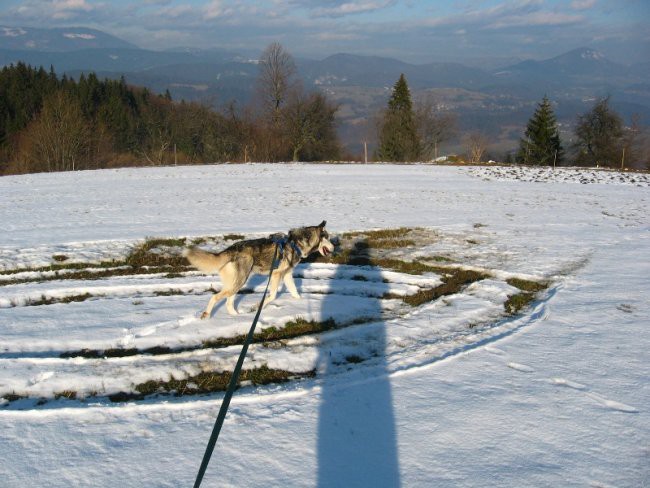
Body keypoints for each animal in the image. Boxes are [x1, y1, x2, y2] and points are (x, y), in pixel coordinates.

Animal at [184, 221, 332, 320]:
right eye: (328, 238)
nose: (334, 247)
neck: (296, 243)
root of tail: (231, 249)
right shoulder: (276, 274)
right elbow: (272, 296)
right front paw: (256, 307)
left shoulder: (287, 274)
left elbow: (295, 292)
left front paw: (300, 303)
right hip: (240, 281)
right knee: (215, 297)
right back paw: (207, 315)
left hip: (236, 283)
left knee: (228, 302)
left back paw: (237, 317)